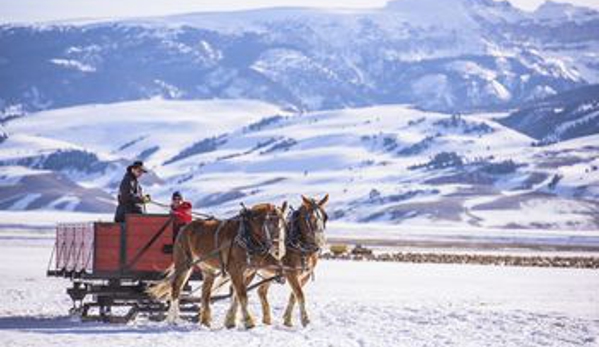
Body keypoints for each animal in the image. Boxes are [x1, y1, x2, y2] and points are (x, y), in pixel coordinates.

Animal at [150, 201, 290, 328]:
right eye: (270, 223)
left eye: (283, 225)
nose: (278, 251)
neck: (246, 237)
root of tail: (185, 228)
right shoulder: (235, 271)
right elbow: (242, 295)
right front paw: (248, 322)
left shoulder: (248, 273)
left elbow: (236, 295)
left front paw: (231, 321)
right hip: (184, 265)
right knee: (176, 289)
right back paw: (173, 319)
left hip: (208, 271)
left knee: (205, 293)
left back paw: (205, 321)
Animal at [254, 196, 328, 328]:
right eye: (310, 217)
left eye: (325, 216)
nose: (321, 240)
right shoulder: (291, 273)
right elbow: (300, 294)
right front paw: (305, 320)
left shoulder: (304, 276)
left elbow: (294, 295)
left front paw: (287, 320)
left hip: (269, 273)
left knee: (261, 291)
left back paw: (266, 319)